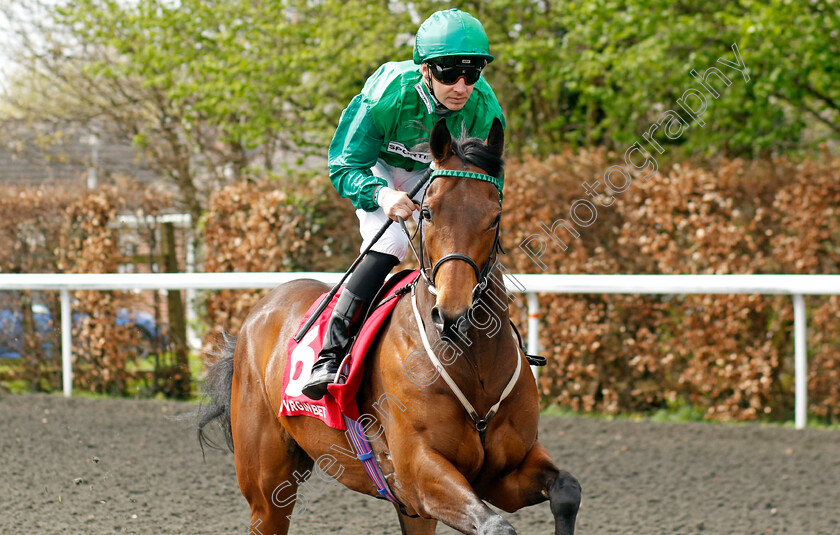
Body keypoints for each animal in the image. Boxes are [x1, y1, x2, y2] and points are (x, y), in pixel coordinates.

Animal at [198, 118, 580, 535]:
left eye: (495, 216)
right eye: (427, 212)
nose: (453, 315)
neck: (472, 364)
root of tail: (260, 311)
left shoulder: (503, 474)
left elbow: (566, 489)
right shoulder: (420, 474)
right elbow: (496, 526)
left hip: (408, 510)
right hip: (268, 490)